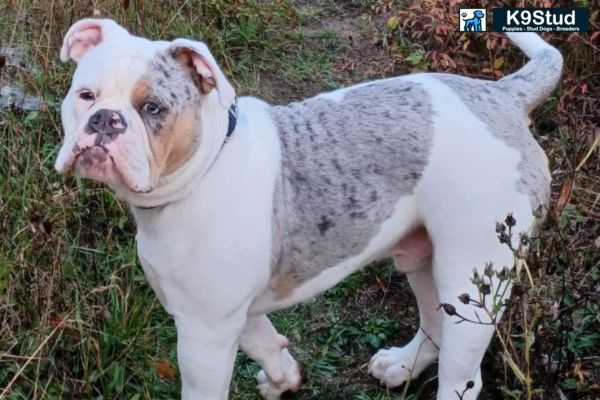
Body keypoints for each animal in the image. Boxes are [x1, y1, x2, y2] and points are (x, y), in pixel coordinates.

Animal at [55, 18, 564, 400]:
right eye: (85, 95)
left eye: (154, 108)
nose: (104, 121)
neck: (203, 171)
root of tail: (503, 96)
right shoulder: (222, 314)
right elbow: (264, 341)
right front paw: (284, 377)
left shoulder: (203, 333)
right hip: (425, 259)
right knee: (434, 319)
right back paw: (401, 364)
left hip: (472, 270)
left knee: (463, 374)